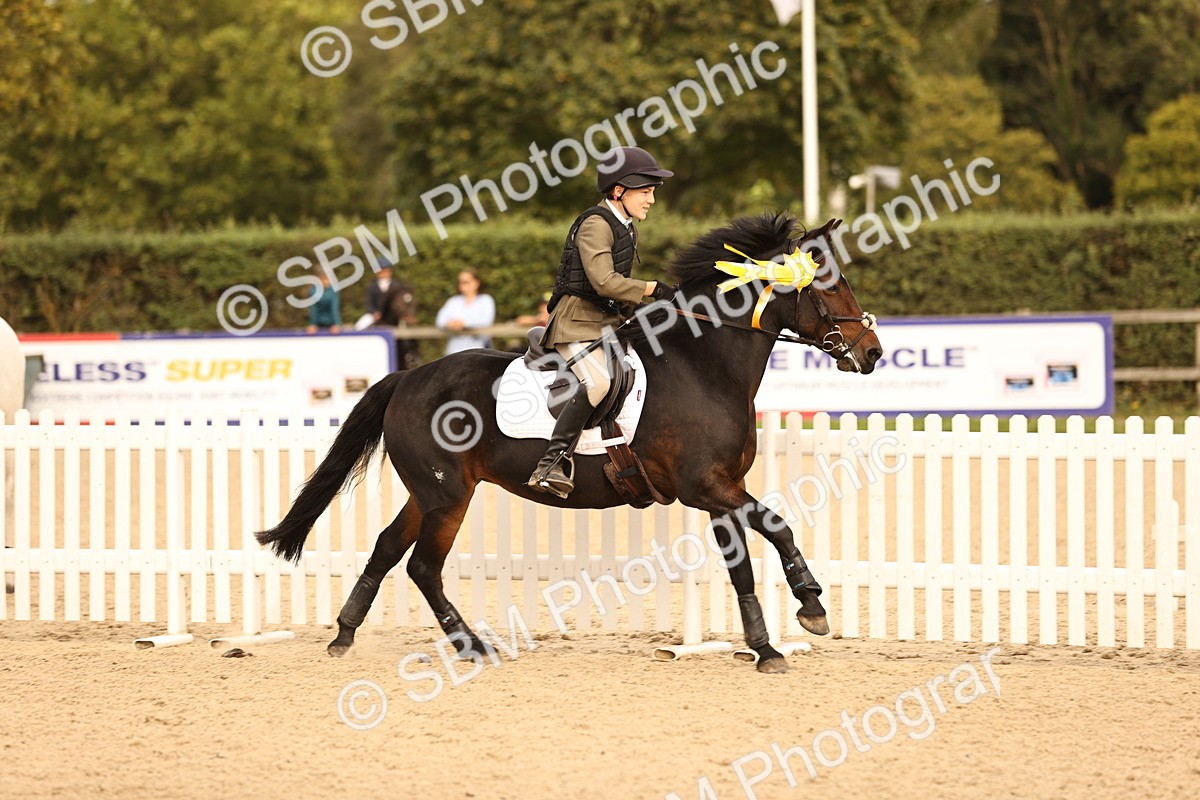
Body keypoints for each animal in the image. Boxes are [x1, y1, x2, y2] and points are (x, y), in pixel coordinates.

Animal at [257, 214, 882, 673]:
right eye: (829, 285)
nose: (872, 352)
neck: (704, 365)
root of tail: (408, 378)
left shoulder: (721, 491)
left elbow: (744, 568)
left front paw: (767, 647)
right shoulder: (706, 487)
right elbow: (778, 526)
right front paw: (812, 605)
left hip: (430, 493)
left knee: (389, 549)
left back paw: (345, 634)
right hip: (447, 497)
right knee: (424, 568)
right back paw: (470, 646)